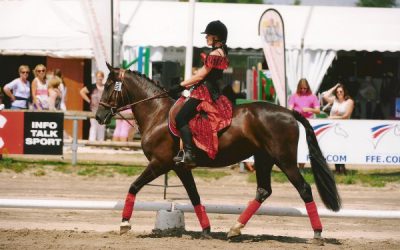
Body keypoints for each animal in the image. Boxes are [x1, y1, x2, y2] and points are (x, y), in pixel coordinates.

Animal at [94, 63, 340, 239]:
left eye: (108, 86)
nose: (98, 116)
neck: (157, 114)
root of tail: (289, 112)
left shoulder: (159, 163)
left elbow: (134, 186)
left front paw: (124, 223)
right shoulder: (180, 167)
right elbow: (194, 195)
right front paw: (206, 229)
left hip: (285, 160)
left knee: (304, 189)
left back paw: (317, 233)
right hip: (264, 159)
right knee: (263, 191)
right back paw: (235, 228)